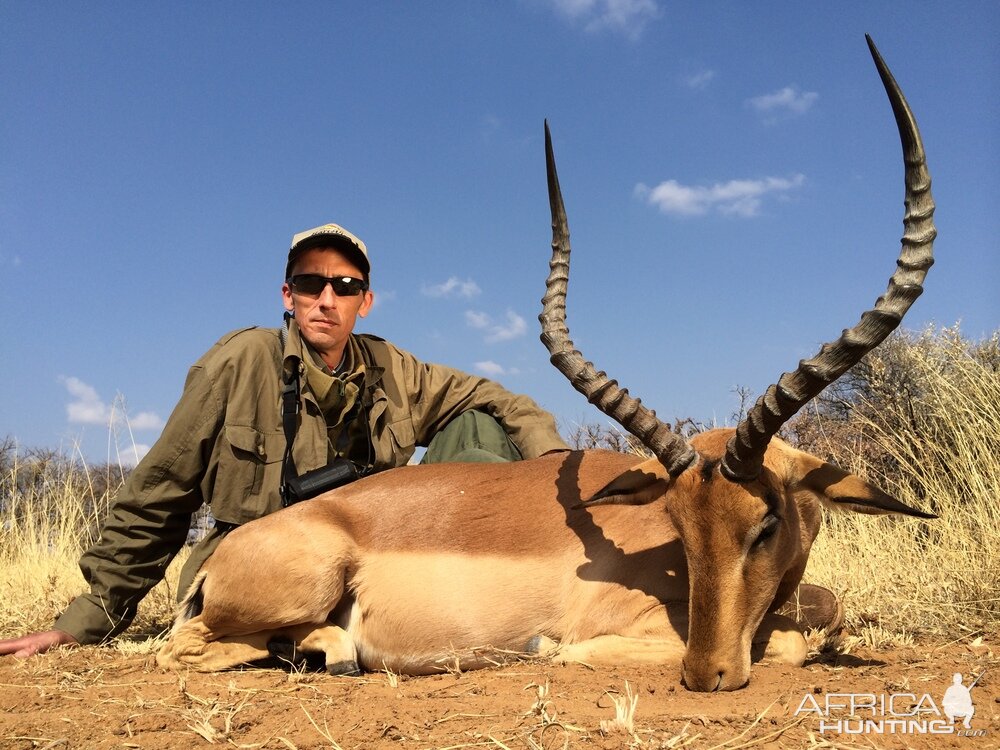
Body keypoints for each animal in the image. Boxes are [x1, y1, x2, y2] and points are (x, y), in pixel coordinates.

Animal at [158, 36, 936, 692]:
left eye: (765, 524)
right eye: (680, 527)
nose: (706, 674)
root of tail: (221, 557)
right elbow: (787, 642)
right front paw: (550, 651)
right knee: (180, 648)